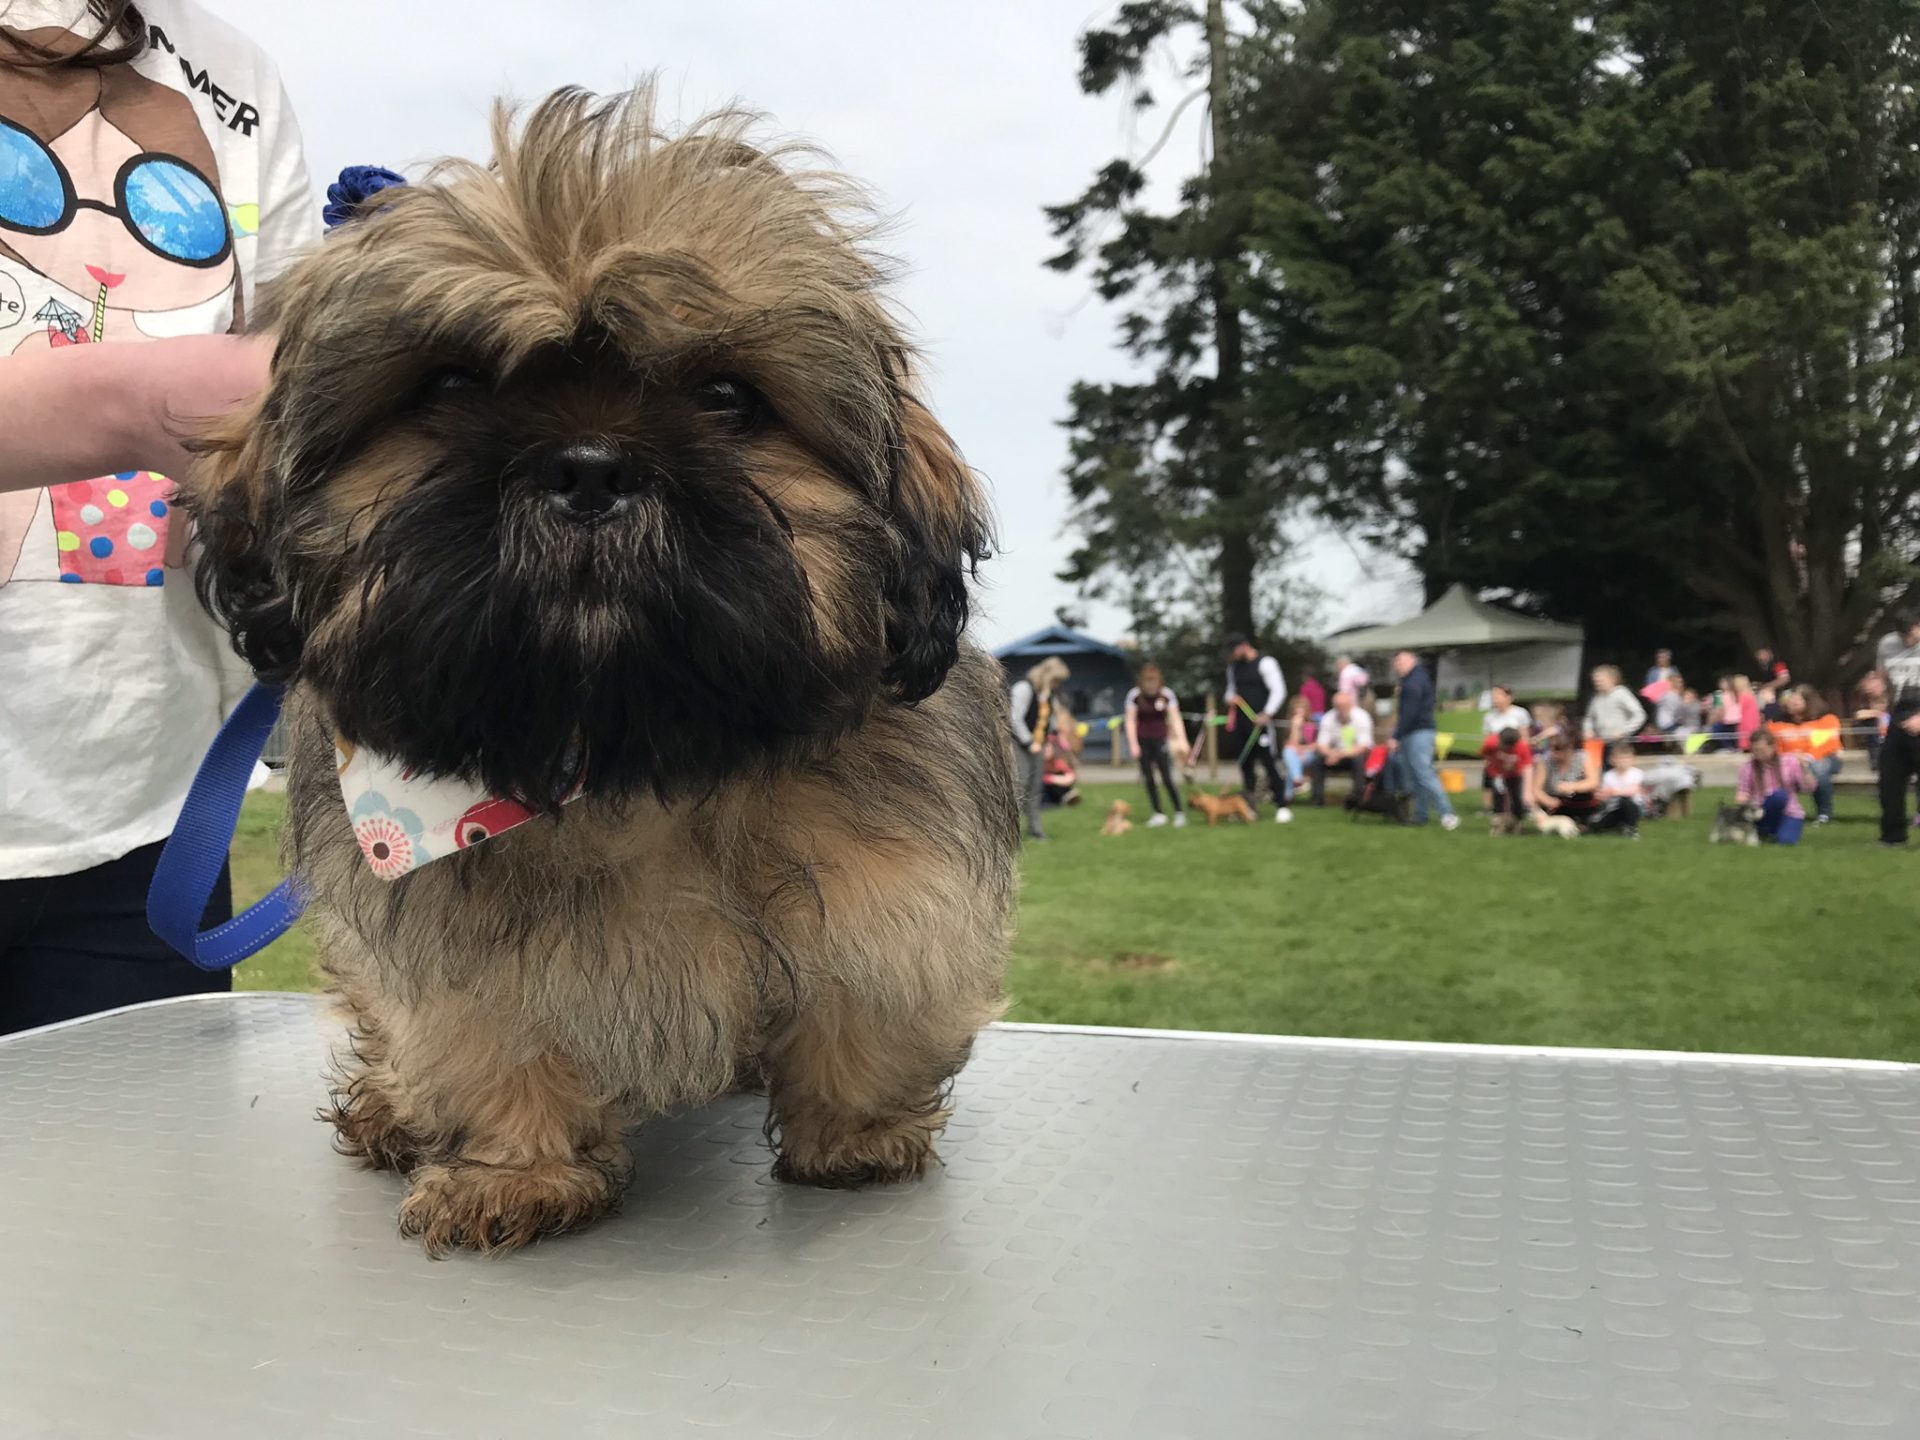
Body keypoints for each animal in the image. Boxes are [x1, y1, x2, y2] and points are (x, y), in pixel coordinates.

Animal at [183, 90, 1021, 1259]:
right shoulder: (449, 951)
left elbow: (873, 1000)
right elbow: (481, 1033)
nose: (588, 469)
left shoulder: (900, 896)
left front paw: (857, 1134)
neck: (618, 747)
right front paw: (515, 1173)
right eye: (449, 386)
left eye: (728, 398)